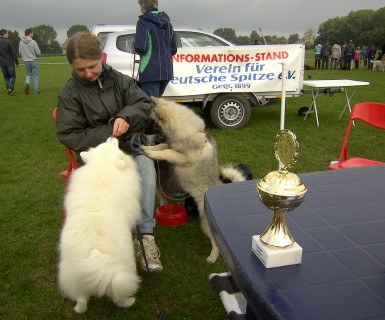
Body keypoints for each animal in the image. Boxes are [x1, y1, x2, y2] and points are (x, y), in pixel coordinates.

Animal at [57, 136, 141, 314]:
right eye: (112, 144)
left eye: (105, 143)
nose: (112, 136)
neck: (102, 170)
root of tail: (94, 254)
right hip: (122, 271)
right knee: (118, 297)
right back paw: (129, 301)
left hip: (74, 276)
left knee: (81, 299)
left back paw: (79, 308)